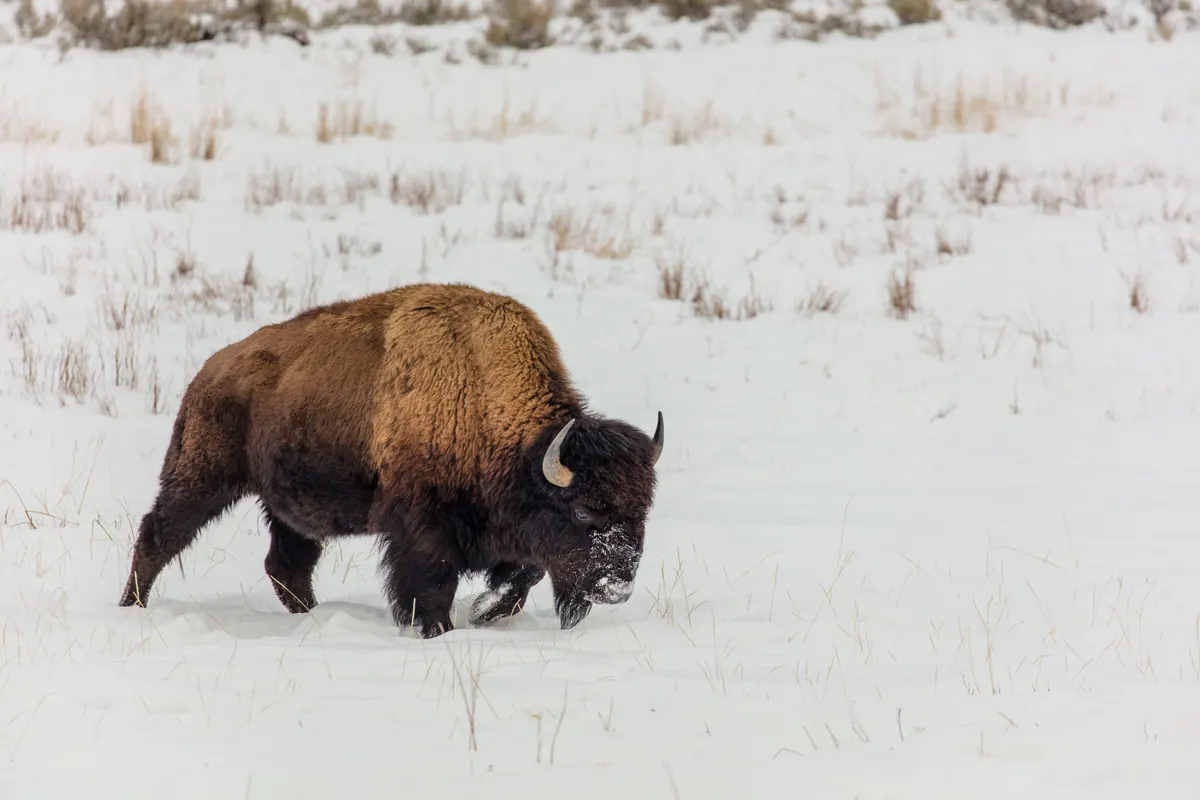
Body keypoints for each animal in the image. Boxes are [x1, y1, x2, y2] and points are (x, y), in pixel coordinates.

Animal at [117, 282, 664, 638]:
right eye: (585, 511)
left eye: (643, 511)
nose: (616, 587)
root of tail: (208, 373)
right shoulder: (421, 527)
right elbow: (433, 583)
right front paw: (438, 627)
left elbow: (523, 574)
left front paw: (485, 611)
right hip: (201, 479)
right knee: (158, 535)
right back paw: (131, 606)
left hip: (287, 509)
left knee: (286, 564)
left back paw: (312, 616)